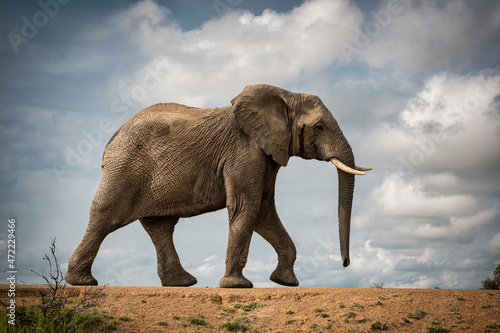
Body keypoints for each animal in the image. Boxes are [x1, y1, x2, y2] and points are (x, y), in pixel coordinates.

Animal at [65, 83, 372, 288]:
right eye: (319, 127)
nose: (345, 263)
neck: (284, 94)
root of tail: (112, 138)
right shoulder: (245, 151)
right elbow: (247, 207)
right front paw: (238, 286)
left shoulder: (267, 153)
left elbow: (263, 211)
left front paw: (286, 282)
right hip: (125, 169)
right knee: (105, 217)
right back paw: (82, 282)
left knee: (161, 227)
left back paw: (182, 283)